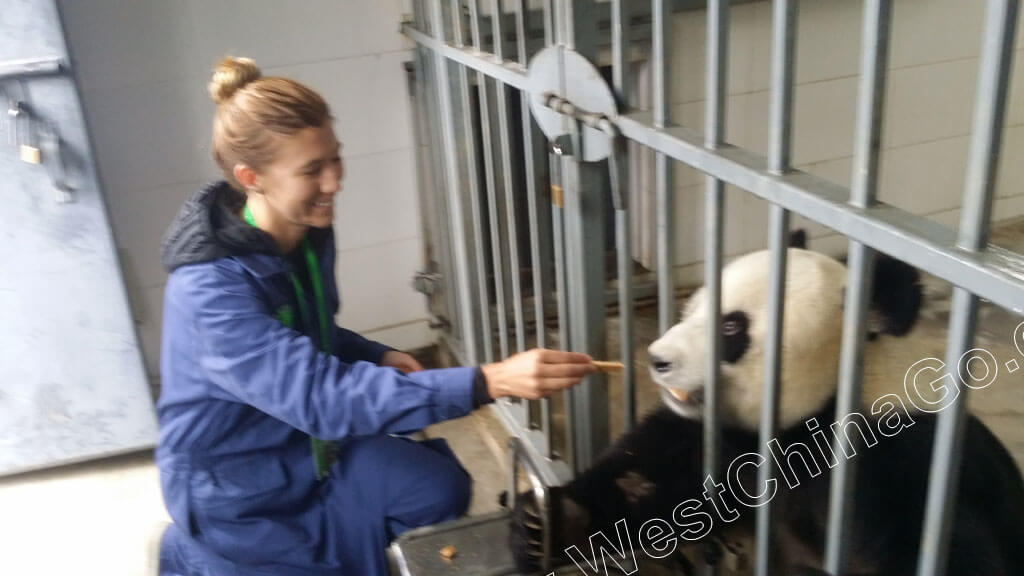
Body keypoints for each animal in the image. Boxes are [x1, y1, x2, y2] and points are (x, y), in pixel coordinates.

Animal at [512, 238, 1024, 573]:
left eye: (731, 327)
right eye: (693, 308)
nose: (658, 359)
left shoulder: (903, 461)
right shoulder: (720, 437)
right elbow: (648, 479)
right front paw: (546, 524)